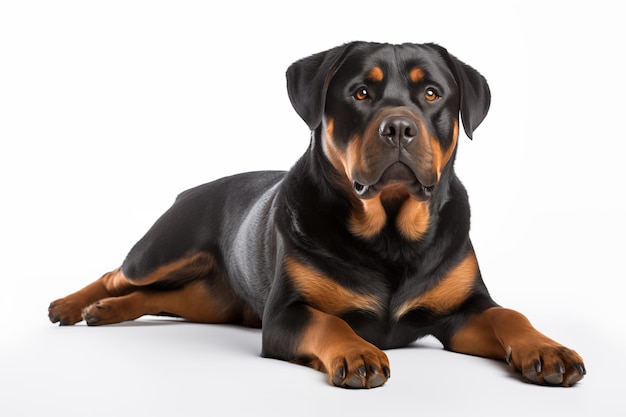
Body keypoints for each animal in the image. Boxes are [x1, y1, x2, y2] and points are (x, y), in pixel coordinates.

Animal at [48, 41, 584, 386]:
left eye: (432, 93)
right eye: (361, 92)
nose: (399, 127)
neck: (390, 235)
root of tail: (189, 191)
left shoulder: (463, 309)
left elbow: (508, 313)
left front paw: (545, 348)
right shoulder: (285, 314)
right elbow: (330, 322)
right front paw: (357, 350)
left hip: (216, 299)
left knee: (168, 297)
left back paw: (105, 311)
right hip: (165, 249)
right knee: (120, 274)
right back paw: (72, 305)